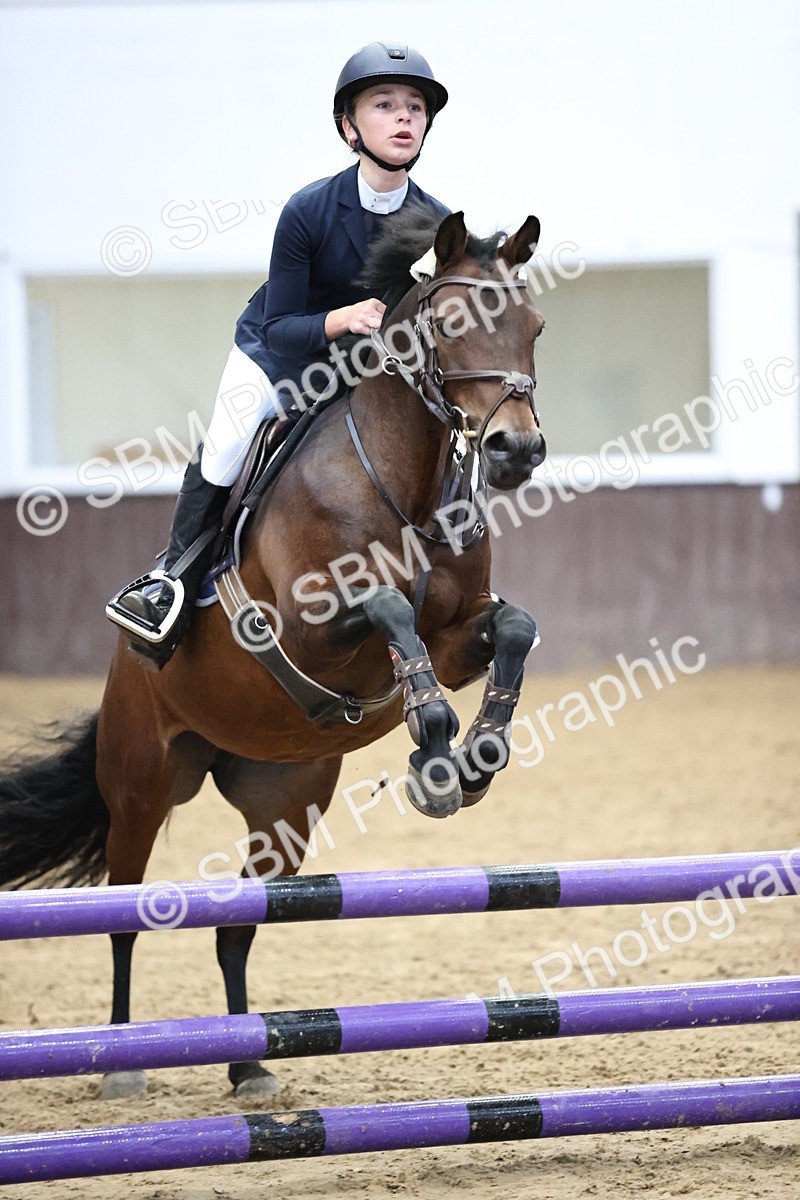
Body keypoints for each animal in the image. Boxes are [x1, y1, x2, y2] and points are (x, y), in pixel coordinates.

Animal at [0, 207, 547, 1100]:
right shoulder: (309, 632)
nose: (515, 452)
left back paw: (250, 1064)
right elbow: (389, 609)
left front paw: (475, 757)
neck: (404, 480)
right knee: (123, 913)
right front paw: (435, 749)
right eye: (450, 326)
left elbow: (515, 629)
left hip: (284, 803)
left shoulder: (457, 635)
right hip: (142, 782)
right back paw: (120, 1065)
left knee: (237, 926)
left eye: (534, 327)